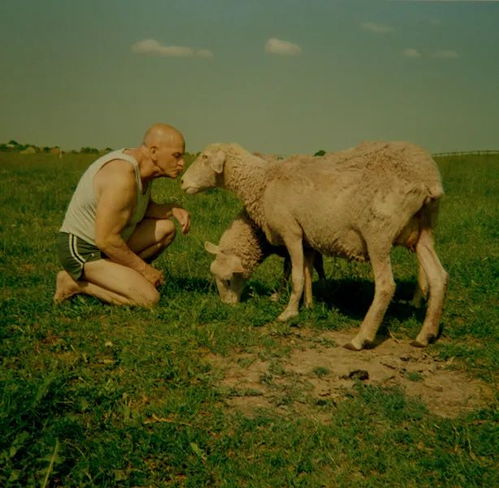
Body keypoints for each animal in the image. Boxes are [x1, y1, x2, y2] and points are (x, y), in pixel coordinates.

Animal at [183, 141, 450, 350]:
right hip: (423, 232)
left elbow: (296, 277)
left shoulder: (291, 232)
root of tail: (428, 178)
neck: (263, 180)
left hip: (378, 234)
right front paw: (309, 305)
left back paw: (361, 338)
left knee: (386, 285)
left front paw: (288, 313)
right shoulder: (307, 239)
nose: (183, 181)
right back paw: (425, 335)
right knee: (438, 276)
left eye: (204, 157)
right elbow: (307, 273)